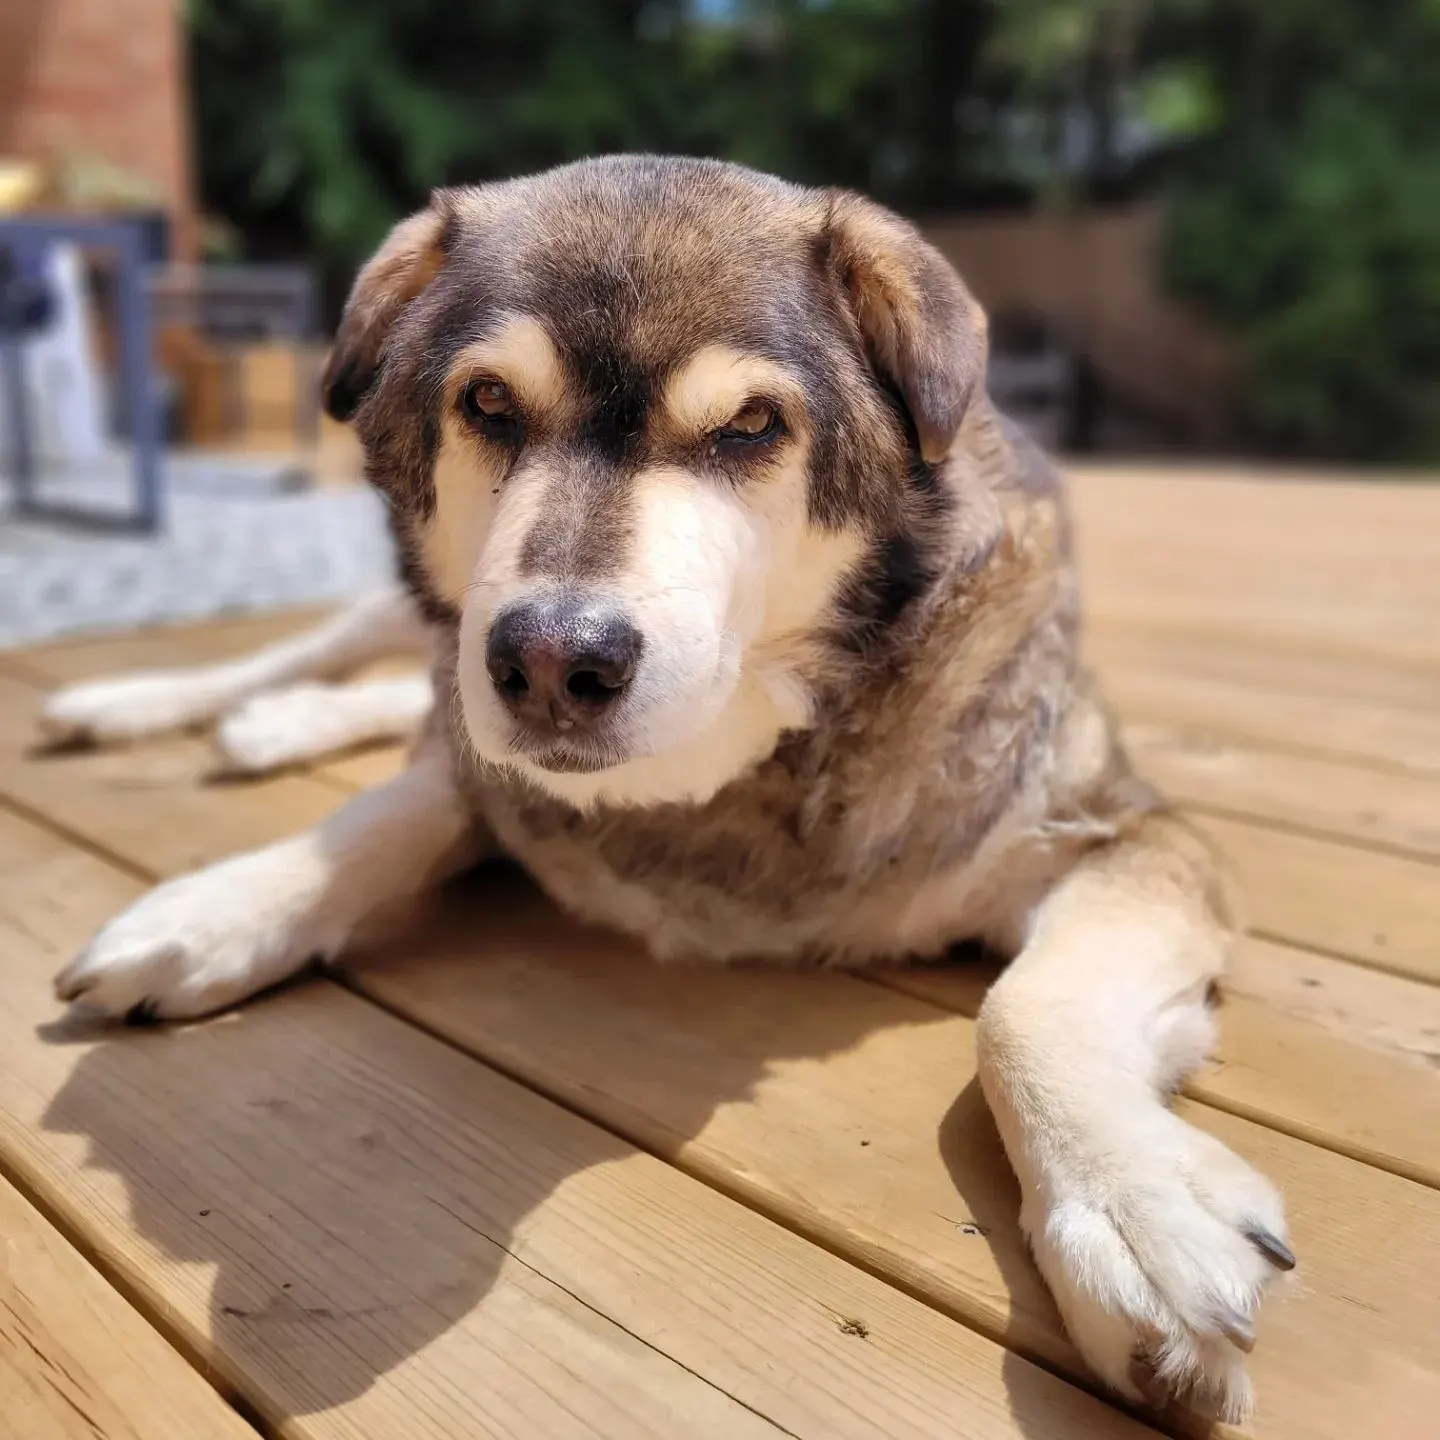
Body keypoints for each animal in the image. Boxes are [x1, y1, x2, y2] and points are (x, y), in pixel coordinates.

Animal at [45, 154, 1290, 1416]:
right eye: (487, 403)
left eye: (750, 425)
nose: (551, 664)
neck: (720, 780)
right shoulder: (487, 758)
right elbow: (392, 809)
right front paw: (218, 908)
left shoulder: (1125, 830)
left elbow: (1020, 1010)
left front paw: (1132, 1211)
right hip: (409, 618)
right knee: (341, 657)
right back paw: (154, 702)